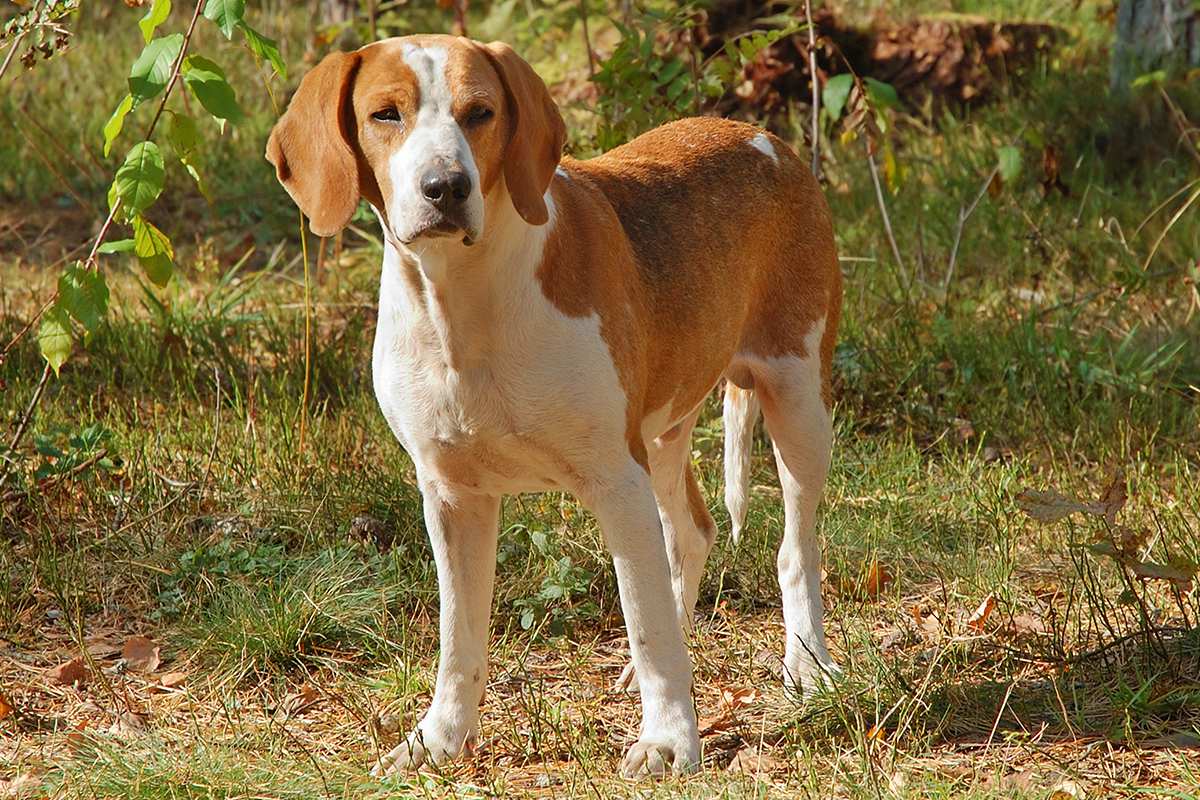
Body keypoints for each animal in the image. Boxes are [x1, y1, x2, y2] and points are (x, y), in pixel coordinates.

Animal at [266, 34, 840, 777]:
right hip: (662, 434)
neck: (466, 301)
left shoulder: (615, 482)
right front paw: (439, 739)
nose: (445, 188)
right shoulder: (452, 497)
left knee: (794, 548)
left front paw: (668, 740)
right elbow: (459, 641)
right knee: (693, 531)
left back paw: (808, 665)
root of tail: (759, 135)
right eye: (384, 114)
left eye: (480, 112)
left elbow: (648, 625)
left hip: (796, 402)